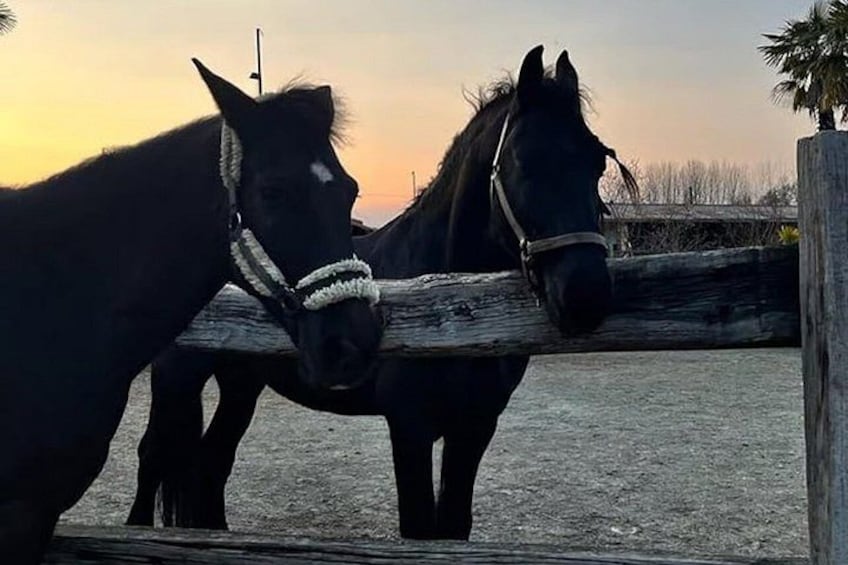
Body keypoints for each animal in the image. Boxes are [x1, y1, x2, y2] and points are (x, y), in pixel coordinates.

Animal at [129, 45, 638, 539]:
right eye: (522, 162)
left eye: (598, 162)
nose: (585, 295)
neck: (451, 308)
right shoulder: (409, 427)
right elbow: (418, 528)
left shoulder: (475, 427)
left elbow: (453, 527)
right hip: (177, 377)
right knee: (153, 457)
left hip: (242, 383)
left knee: (212, 465)